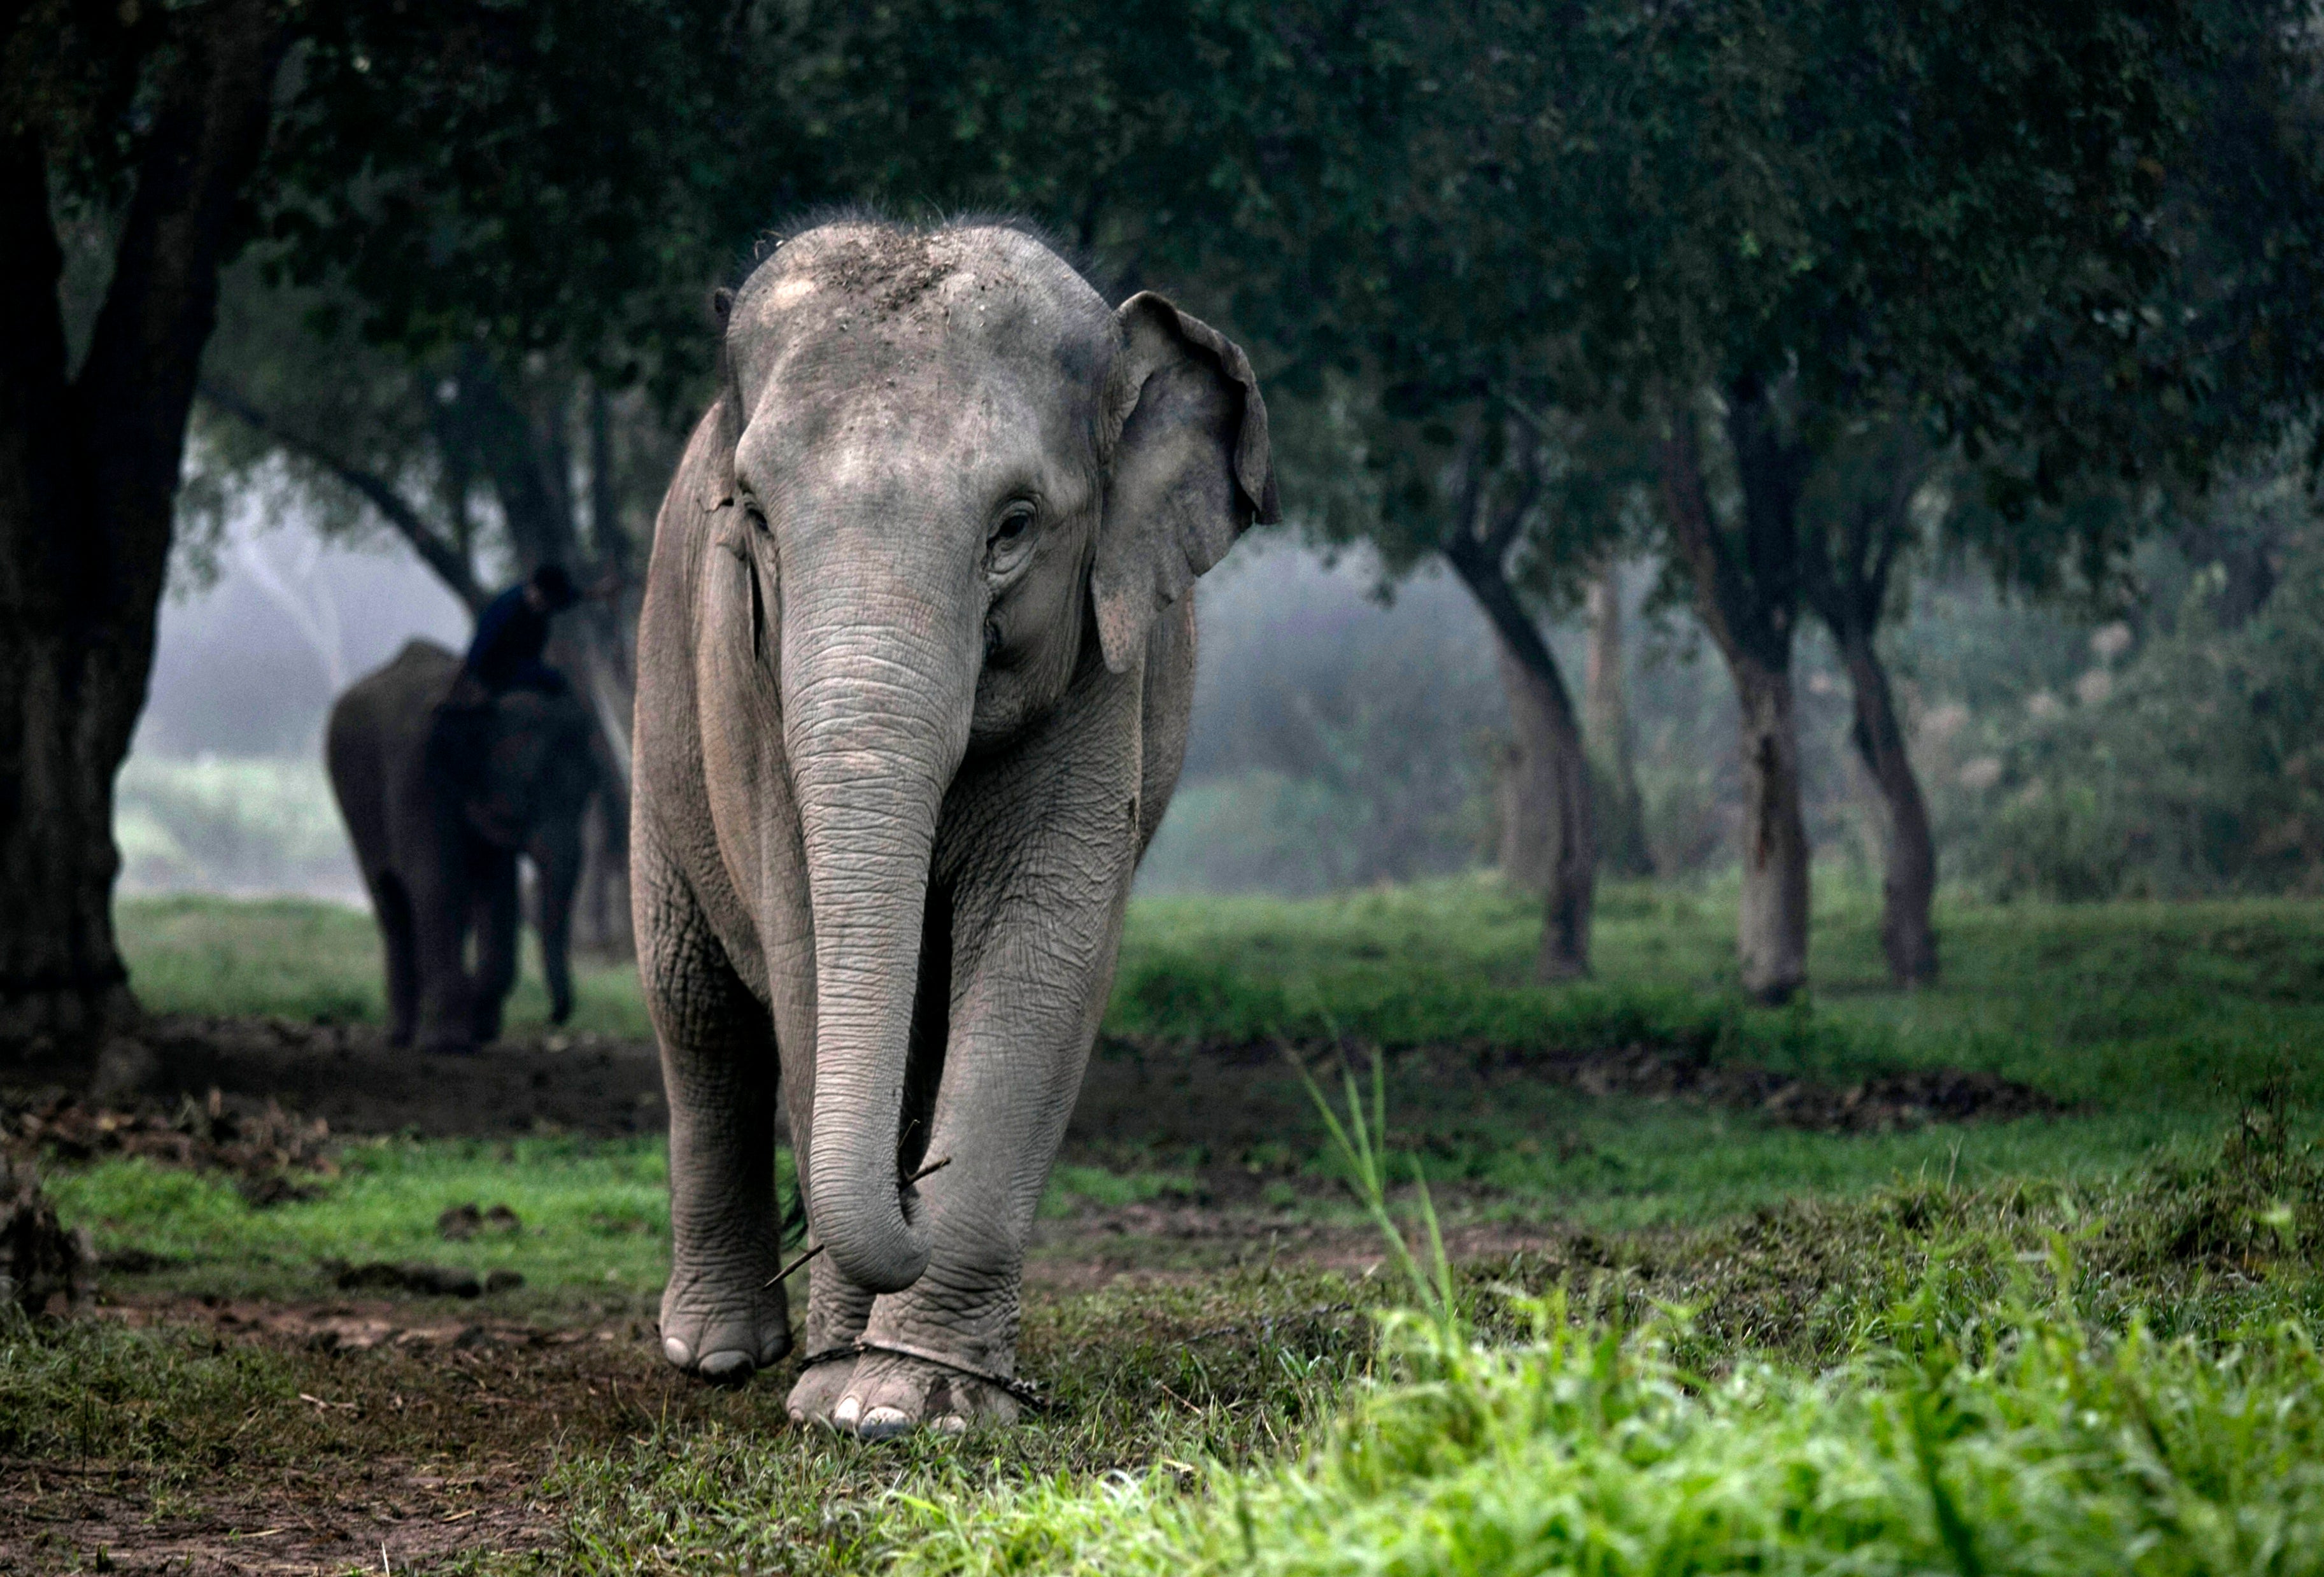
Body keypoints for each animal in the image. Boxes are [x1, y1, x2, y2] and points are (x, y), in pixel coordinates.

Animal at [330, 636, 604, 1054]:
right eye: (523, 798)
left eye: (591, 790)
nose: (555, 1017)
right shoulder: (417, 771)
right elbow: (436, 881)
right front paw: (446, 1044)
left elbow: (498, 891)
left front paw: (479, 1030)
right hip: (353, 804)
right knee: (393, 900)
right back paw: (402, 1037)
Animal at [637, 216, 1282, 1439]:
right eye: (753, 517)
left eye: (1015, 526)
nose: (912, 1203)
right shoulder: (745, 681)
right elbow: (803, 952)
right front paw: (831, 1392)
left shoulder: (1103, 665)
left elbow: (1045, 944)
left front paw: (903, 1400)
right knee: (695, 1004)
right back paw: (718, 1354)